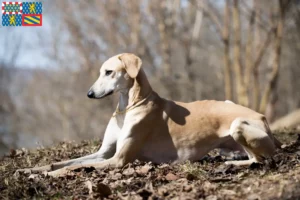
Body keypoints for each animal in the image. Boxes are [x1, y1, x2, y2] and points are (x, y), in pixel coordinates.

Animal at [18, 53, 282, 177]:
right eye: (101, 72)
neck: (127, 107)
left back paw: (230, 164)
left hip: (238, 124)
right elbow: (66, 162)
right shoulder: (104, 153)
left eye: (109, 72)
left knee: (259, 159)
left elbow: (74, 168)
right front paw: (31, 170)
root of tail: (263, 118)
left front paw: (48, 174)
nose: (89, 94)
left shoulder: (118, 160)